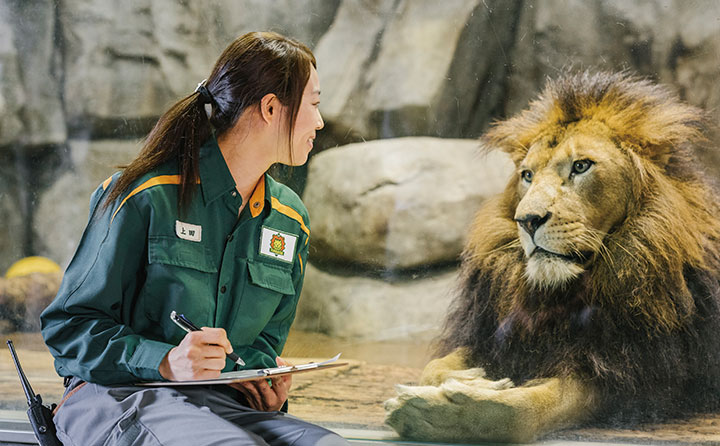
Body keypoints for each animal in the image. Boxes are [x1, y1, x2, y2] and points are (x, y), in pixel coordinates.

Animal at [386, 71, 720, 444]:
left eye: (581, 166)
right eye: (527, 175)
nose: (528, 220)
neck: (558, 293)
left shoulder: (637, 375)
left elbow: (526, 408)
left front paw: (446, 412)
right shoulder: (495, 333)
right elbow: (434, 368)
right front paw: (467, 379)